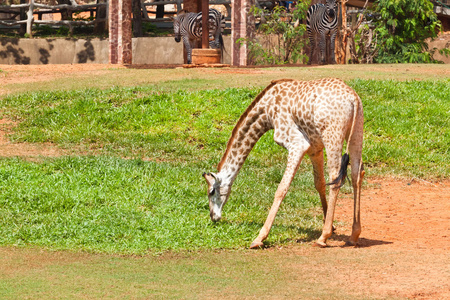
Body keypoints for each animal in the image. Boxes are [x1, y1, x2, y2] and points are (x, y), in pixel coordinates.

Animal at [202, 77, 364, 248]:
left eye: (211, 191)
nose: (213, 217)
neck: (267, 111)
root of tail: (353, 98)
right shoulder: (314, 149)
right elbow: (319, 184)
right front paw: (331, 226)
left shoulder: (298, 143)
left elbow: (281, 188)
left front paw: (259, 238)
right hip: (356, 132)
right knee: (357, 173)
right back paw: (354, 235)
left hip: (332, 134)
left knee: (335, 176)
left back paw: (322, 238)